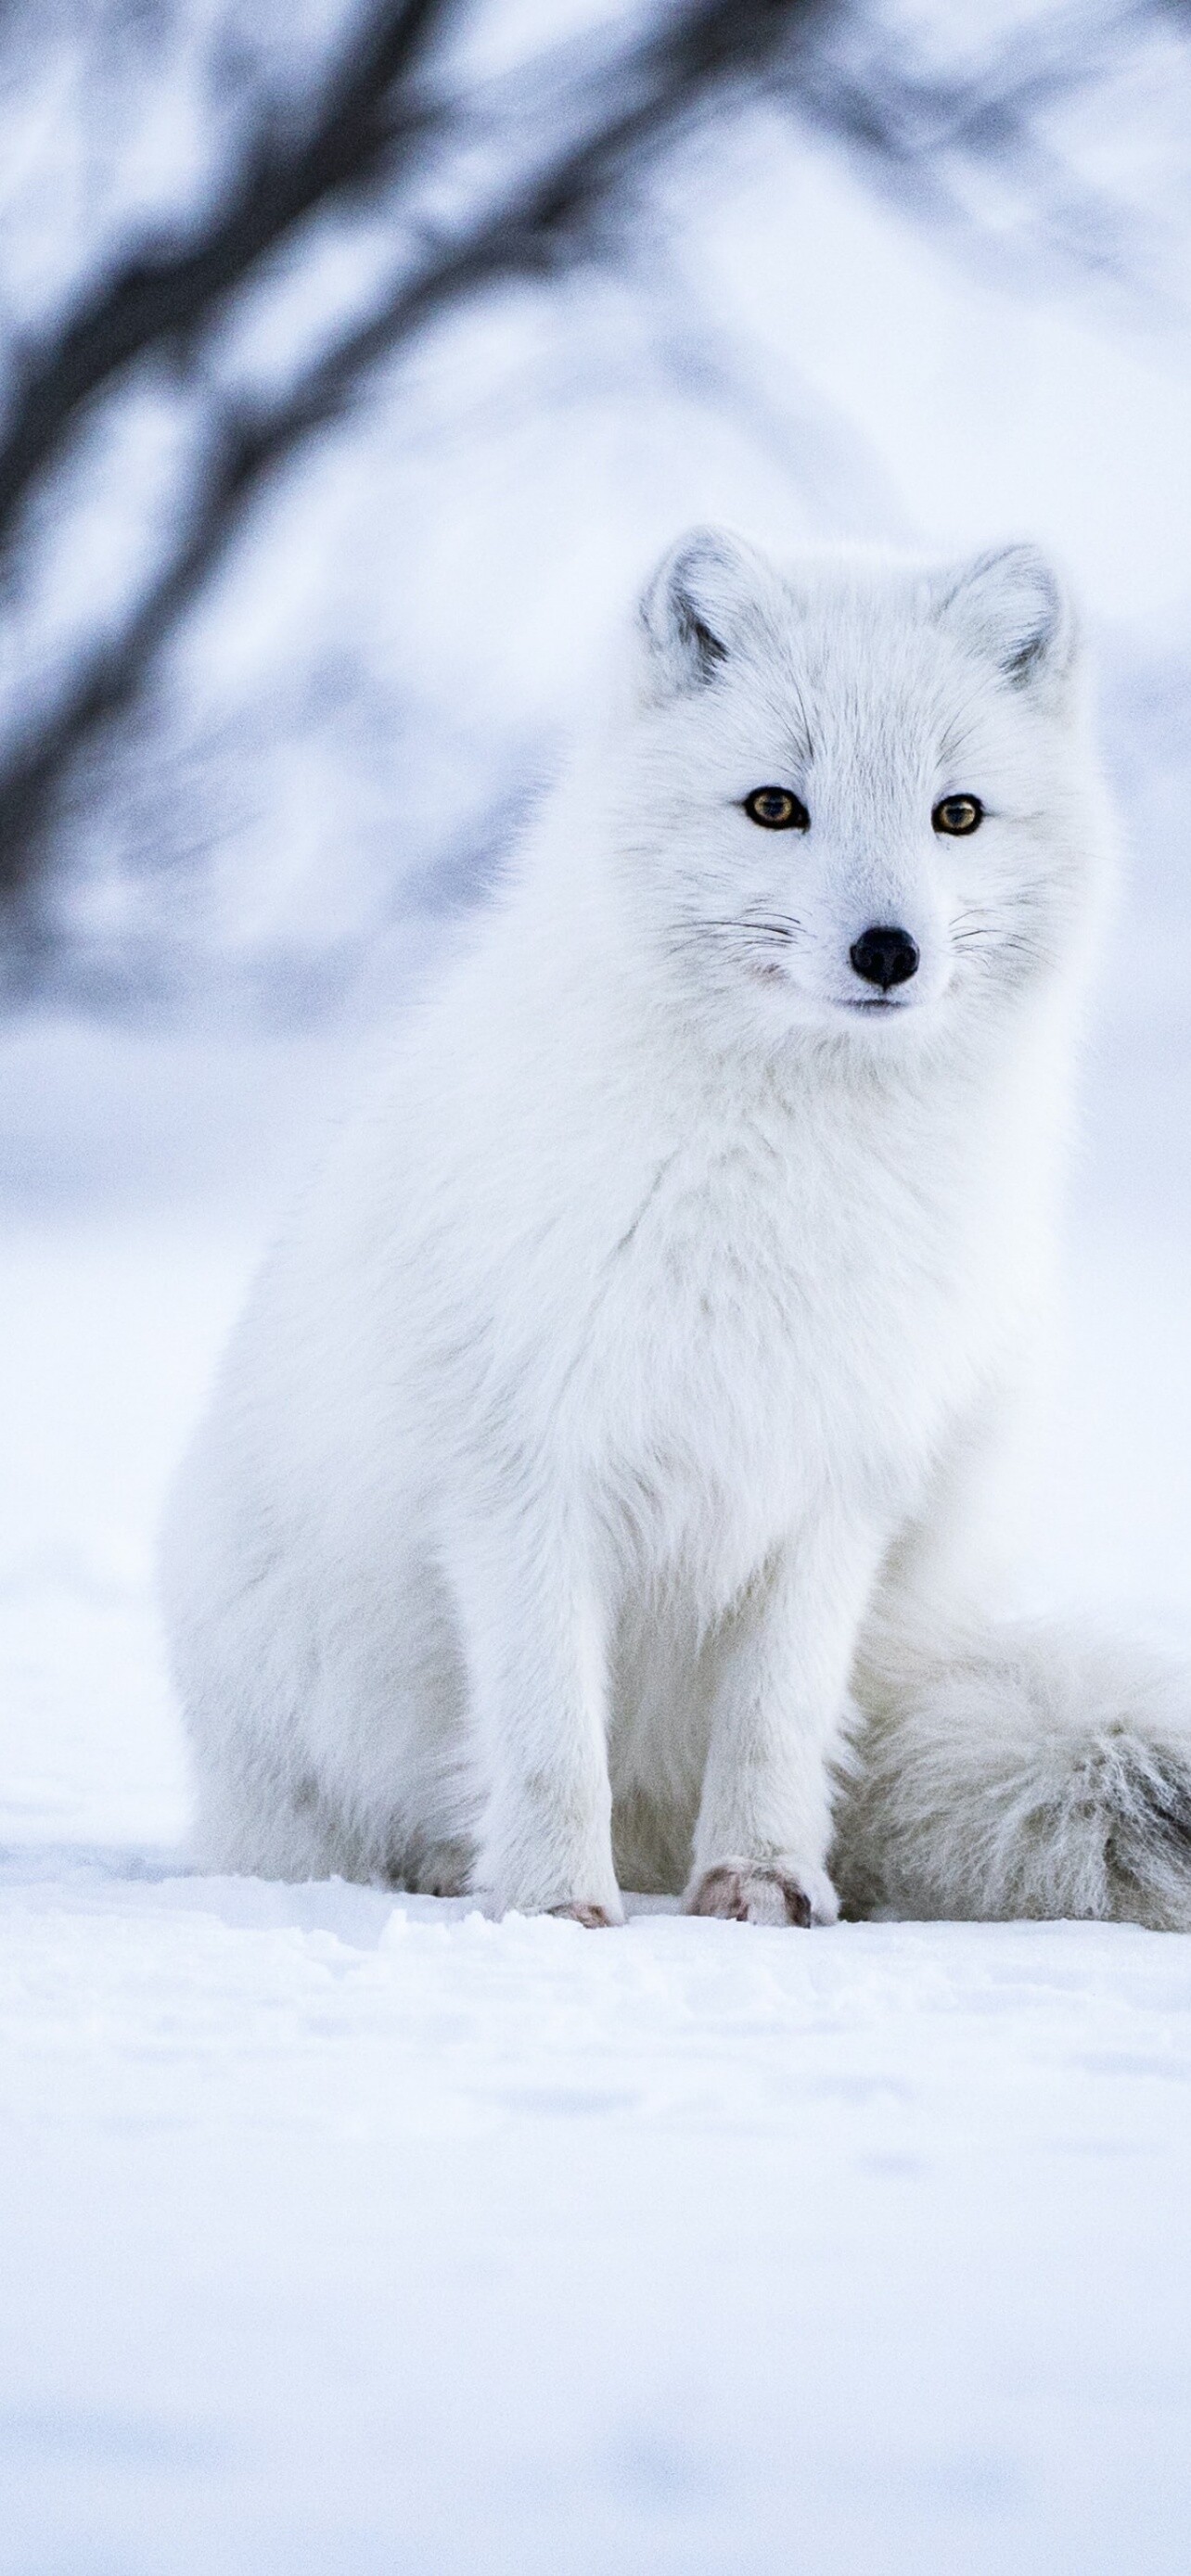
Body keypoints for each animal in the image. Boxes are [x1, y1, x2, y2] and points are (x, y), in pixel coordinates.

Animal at [162, 522, 1191, 1926]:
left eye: (957, 813)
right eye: (775, 806)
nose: (889, 951)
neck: (787, 1174)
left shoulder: (836, 1482)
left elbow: (776, 1718)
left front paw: (761, 1882)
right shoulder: (526, 1472)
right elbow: (547, 1731)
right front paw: (553, 1907)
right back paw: (443, 1868)